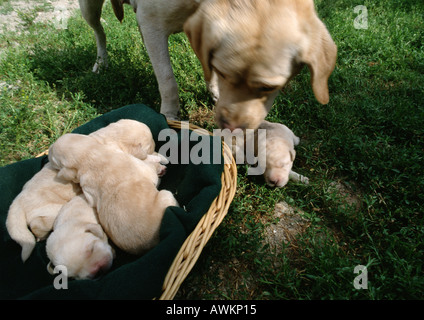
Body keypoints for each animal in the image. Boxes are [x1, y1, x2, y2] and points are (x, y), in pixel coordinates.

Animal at [48, 132, 178, 255]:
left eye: (54, 160)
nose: (48, 150)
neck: (90, 155)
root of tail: (152, 245)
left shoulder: (89, 192)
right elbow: (151, 169)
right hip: (166, 195)